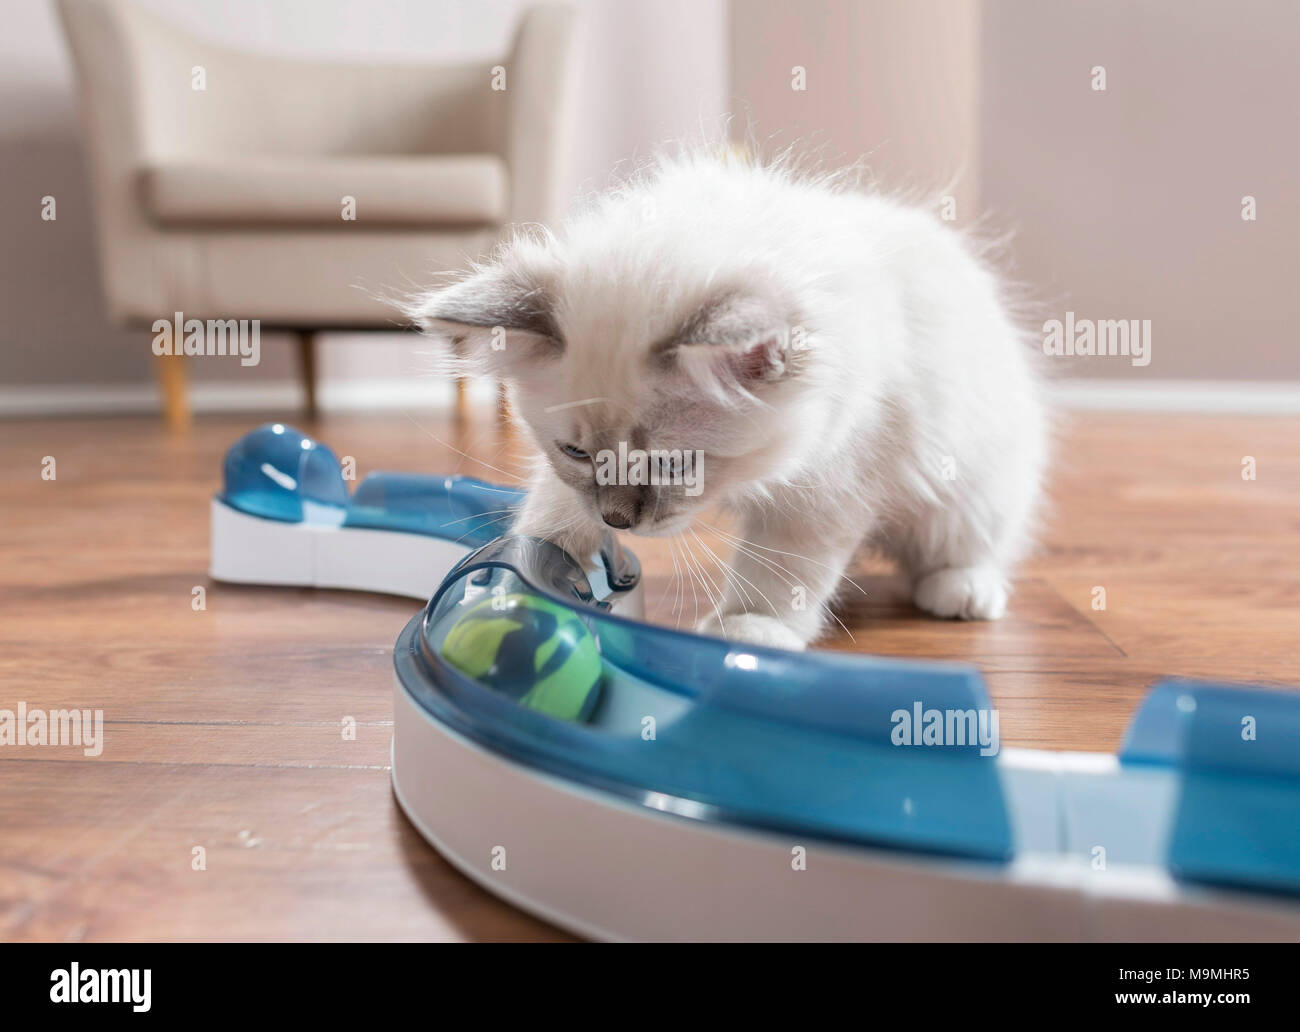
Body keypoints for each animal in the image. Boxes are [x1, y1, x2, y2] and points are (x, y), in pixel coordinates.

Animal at [410, 148, 1050, 647]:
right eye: (577, 453)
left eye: (673, 464)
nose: (617, 520)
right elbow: (555, 514)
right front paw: (529, 571)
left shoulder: (828, 485)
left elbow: (782, 575)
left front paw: (750, 628)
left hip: (966, 490)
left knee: (974, 543)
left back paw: (961, 591)